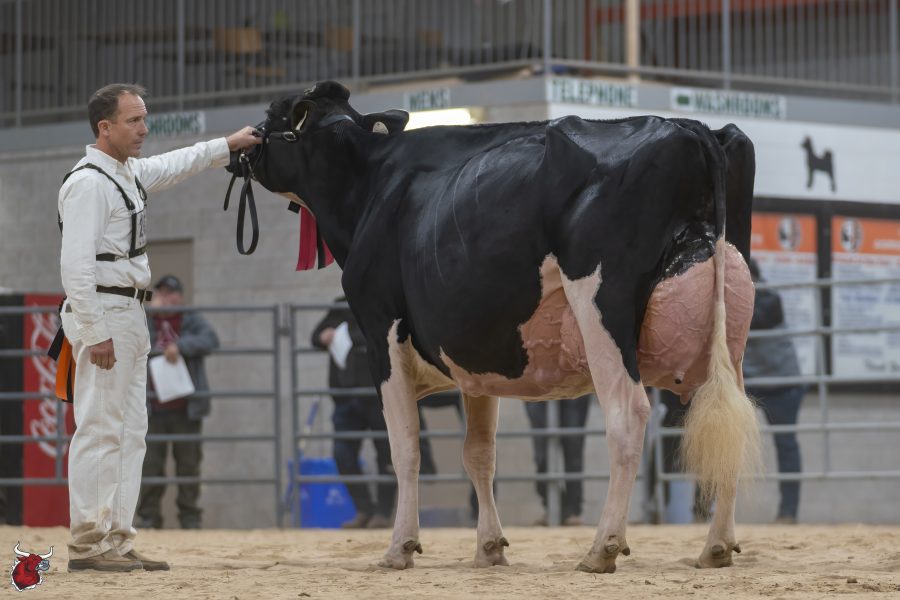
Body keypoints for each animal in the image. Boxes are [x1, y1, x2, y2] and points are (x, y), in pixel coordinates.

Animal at [229, 80, 760, 573]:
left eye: (272, 115)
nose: (238, 151)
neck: (368, 185)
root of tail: (691, 127)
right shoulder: (476, 359)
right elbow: (480, 454)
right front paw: (489, 548)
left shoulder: (381, 330)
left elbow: (405, 447)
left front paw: (400, 547)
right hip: (728, 328)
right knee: (731, 415)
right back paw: (716, 546)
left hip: (601, 304)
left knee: (627, 415)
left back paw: (602, 547)